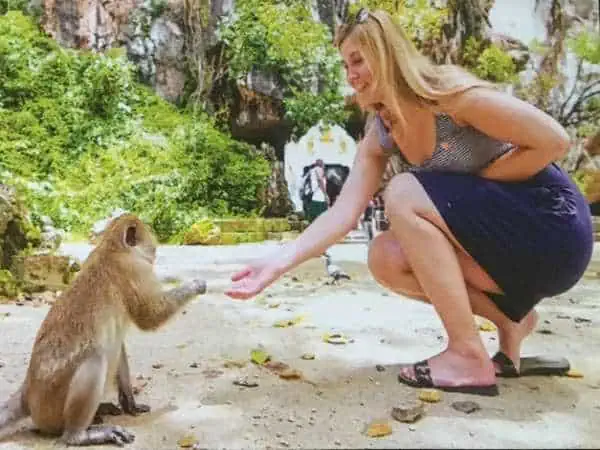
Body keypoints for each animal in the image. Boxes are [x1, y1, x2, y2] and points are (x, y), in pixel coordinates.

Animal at [0, 214, 207, 446]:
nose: (155, 249)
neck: (111, 247)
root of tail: (27, 393)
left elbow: (120, 343)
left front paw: (130, 401)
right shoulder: (135, 270)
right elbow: (150, 316)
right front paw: (197, 285)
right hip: (50, 407)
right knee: (95, 359)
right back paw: (80, 434)